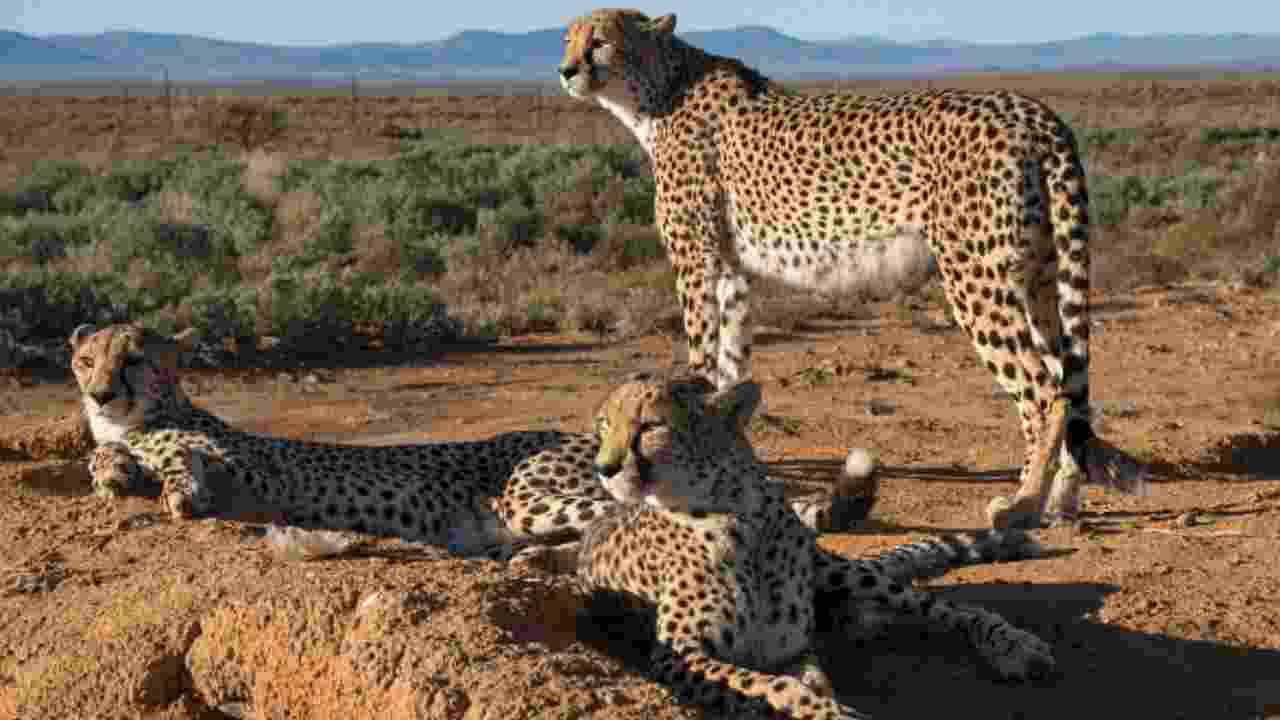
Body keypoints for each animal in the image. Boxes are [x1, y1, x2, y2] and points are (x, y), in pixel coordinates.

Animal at [70, 323, 872, 552]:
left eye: (133, 358)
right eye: (85, 359)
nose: (99, 391)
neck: (143, 416)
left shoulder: (230, 460)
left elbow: (189, 467)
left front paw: (175, 492)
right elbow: (104, 458)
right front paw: (112, 470)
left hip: (537, 494)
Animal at [508, 374, 1054, 719]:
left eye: (650, 426)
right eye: (603, 426)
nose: (603, 467)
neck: (735, 512)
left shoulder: (790, 646)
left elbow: (795, 676)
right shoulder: (678, 655)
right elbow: (777, 686)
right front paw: (824, 710)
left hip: (842, 570)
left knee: (945, 606)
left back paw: (1012, 645)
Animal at [556, 8, 1149, 530]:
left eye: (600, 41)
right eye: (568, 39)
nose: (566, 70)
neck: (659, 91)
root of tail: (1035, 112)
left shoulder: (695, 265)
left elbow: (701, 360)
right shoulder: (734, 276)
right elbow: (730, 369)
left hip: (974, 275)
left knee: (1046, 395)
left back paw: (1022, 504)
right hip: (1039, 278)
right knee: (1069, 384)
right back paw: (1062, 503)